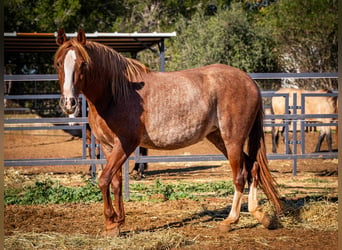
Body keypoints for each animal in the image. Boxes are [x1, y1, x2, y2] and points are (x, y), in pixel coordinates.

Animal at [54, 28, 282, 236]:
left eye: (83, 64)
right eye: (58, 63)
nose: (69, 103)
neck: (115, 94)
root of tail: (249, 81)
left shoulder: (125, 144)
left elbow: (103, 180)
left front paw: (111, 222)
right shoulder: (108, 146)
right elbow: (115, 182)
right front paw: (116, 223)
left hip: (233, 139)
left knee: (240, 176)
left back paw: (230, 221)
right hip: (219, 138)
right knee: (253, 168)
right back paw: (261, 216)